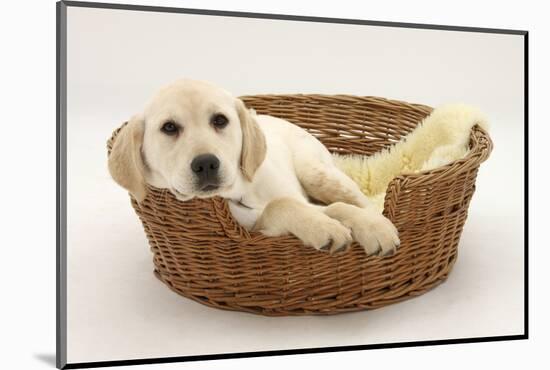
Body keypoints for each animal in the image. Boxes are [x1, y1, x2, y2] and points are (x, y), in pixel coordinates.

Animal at [109, 79, 402, 256]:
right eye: (168, 127)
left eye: (220, 120)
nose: (206, 164)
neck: (240, 193)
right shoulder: (255, 227)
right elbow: (281, 205)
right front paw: (324, 227)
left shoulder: (304, 199)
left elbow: (337, 207)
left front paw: (374, 227)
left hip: (317, 174)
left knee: (362, 201)